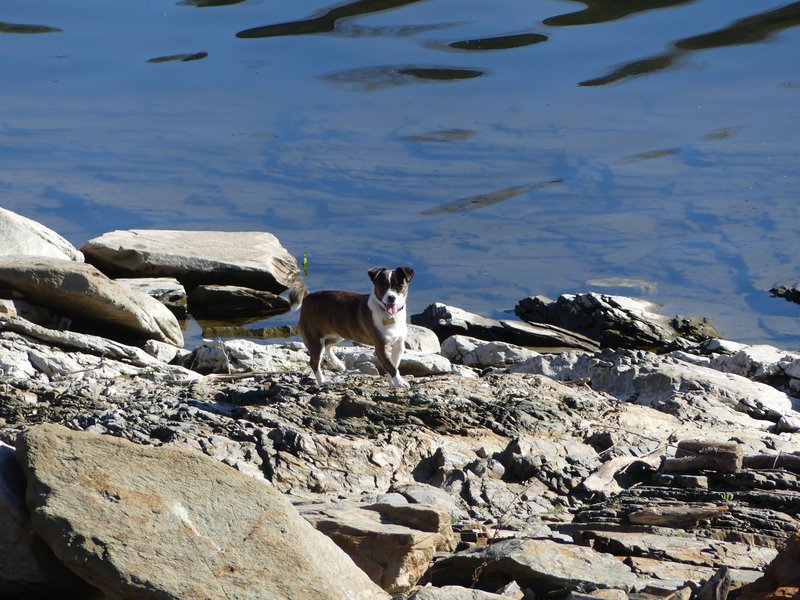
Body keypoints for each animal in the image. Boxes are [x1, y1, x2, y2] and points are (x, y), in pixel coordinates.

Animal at [288, 268, 416, 390]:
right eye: (382, 286)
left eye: (400, 287)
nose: (391, 298)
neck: (389, 315)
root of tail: (307, 297)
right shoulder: (381, 347)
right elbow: (391, 366)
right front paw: (400, 382)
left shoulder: (399, 345)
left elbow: (394, 364)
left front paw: (393, 382)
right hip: (314, 339)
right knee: (314, 361)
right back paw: (322, 381)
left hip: (339, 333)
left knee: (328, 345)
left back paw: (338, 364)